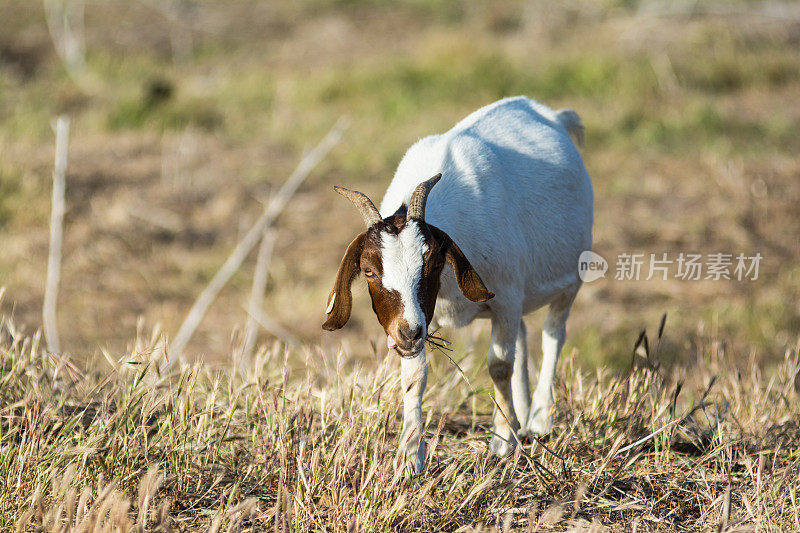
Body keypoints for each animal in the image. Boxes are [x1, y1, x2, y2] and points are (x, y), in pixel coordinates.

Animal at [322, 96, 592, 474]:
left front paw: (502, 443)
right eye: (369, 271)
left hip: (570, 279)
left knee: (554, 333)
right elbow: (415, 376)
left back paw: (539, 420)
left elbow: (499, 366)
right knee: (523, 335)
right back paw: (522, 416)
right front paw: (410, 458)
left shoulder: (505, 298)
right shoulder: (424, 318)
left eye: (434, 263)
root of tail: (553, 115)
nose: (408, 333)